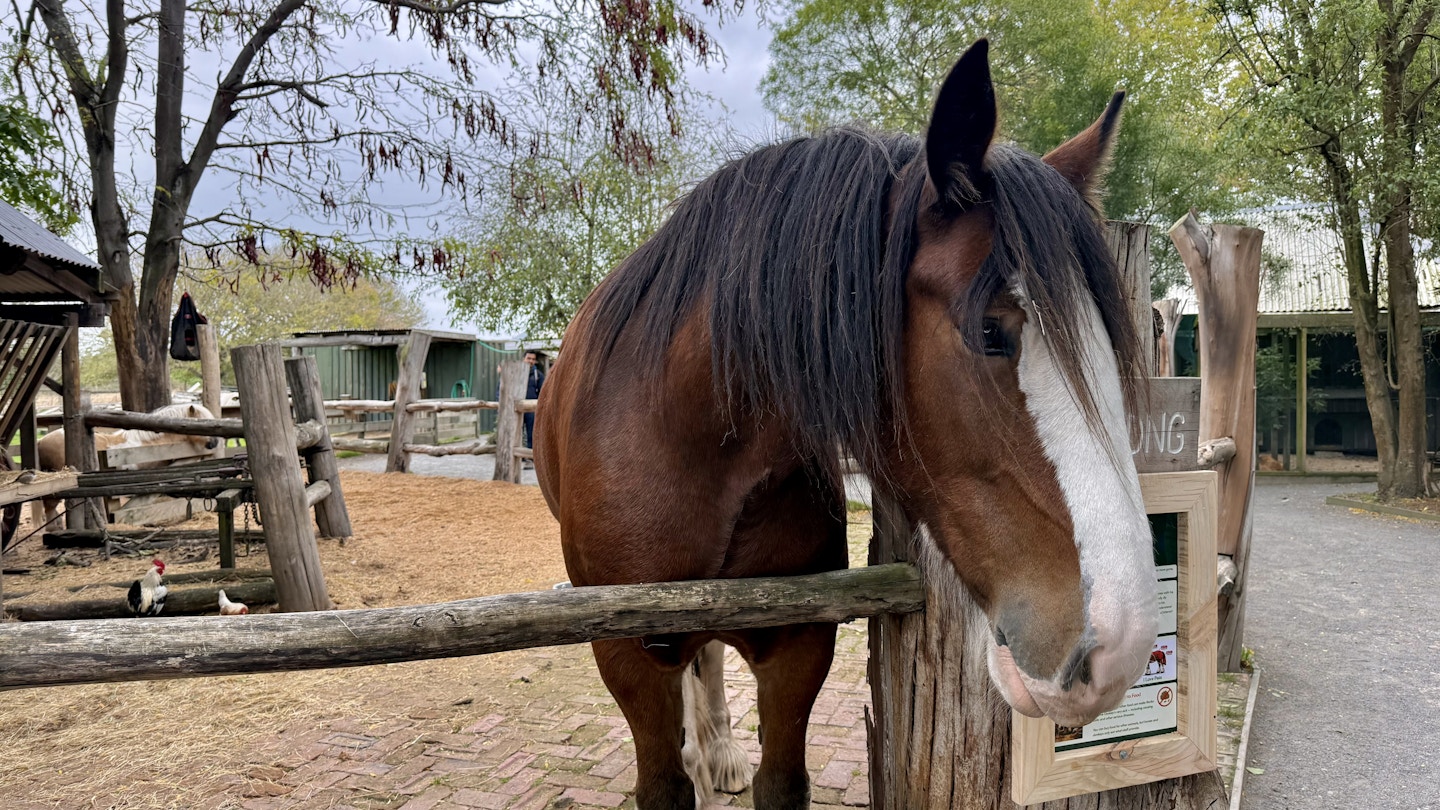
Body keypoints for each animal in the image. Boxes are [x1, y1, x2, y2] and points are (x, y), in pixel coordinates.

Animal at [535, 41, 1158, 809]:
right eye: (990, 332)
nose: (1119, 648)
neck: (690, 442)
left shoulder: (799, 647)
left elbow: (779, 780)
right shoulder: (627, 655)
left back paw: (718, 751)